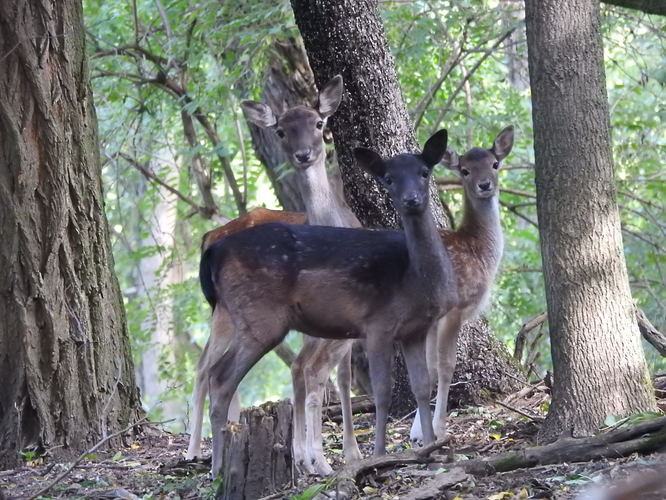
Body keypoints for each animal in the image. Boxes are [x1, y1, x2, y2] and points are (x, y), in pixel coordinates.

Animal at [200, 129, 454, 476]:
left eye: (424, 172)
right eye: (388, 179)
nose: (411, 200)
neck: (414, 277)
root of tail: (213, 251)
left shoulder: (416, 329)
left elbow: (422, 386)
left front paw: (429, 449)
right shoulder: (378, 323)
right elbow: (383, 391)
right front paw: (379, 455)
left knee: (214, 372)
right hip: (260, 317)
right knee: (221, 377)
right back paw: (218, 468)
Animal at [404, 125, 512, 446]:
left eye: (495, 163)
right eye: (464, 170)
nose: (485, 185)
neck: (478, 249)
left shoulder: (431, 318)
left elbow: (427, 369)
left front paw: (419, 433)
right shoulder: (456, 308)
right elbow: (445, 366)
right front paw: (438, 430)